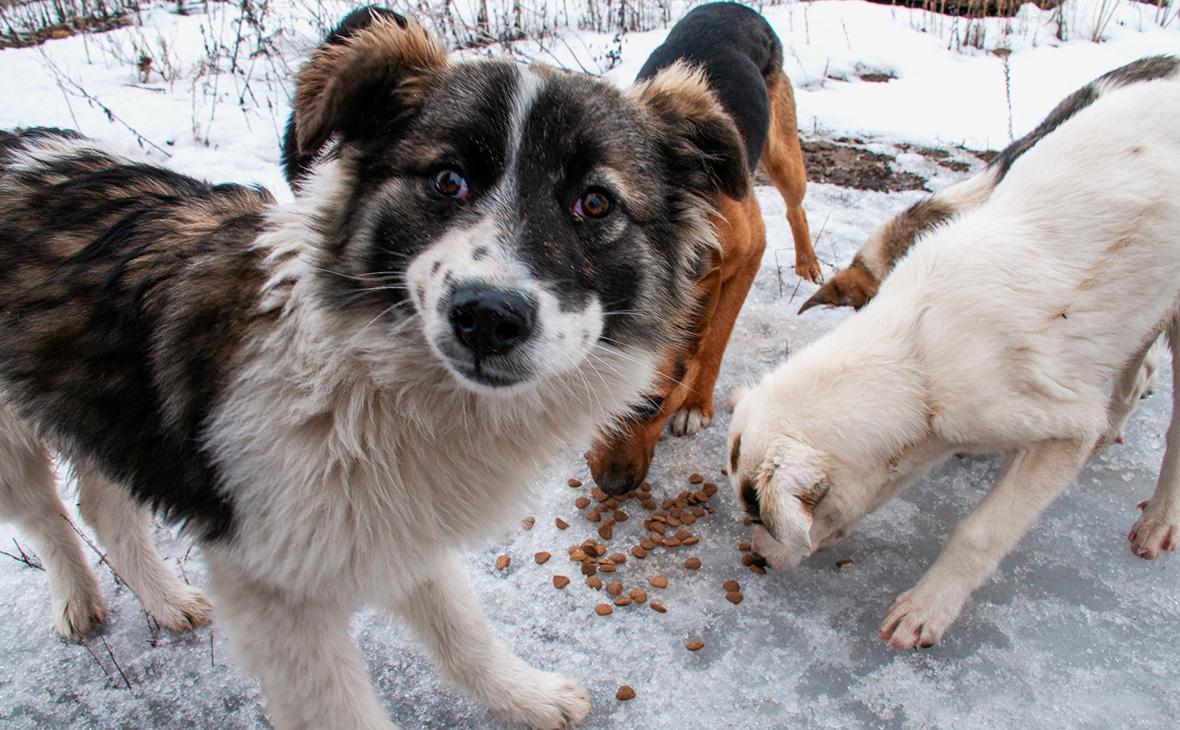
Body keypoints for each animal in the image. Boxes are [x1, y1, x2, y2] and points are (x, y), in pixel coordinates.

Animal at [0, 11, 755, 730]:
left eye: (594, 202)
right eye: (446, 180)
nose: (486, 317)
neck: (362, 383)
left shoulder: (396, 519)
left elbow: (461, 628)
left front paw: (524, 697)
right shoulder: (275, 590)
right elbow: (344, 708)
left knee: (102, 504)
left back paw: (162, 600)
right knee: (48, 515)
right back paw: (78, 602)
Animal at [578, 1, 816, 497]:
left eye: (651, 407)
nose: (612, 487)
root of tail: (733, 8)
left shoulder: (749, 255)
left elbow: (715, 339)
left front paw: (695, 403)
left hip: (784, 155)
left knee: (795, 206)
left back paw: (808, 266)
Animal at [726, 71, 1180, 646]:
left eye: (762, 518)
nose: (758, 561)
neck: (915, 357)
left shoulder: (1048, 424)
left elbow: (980, 529)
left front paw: (926, 609)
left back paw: (1158, 521)